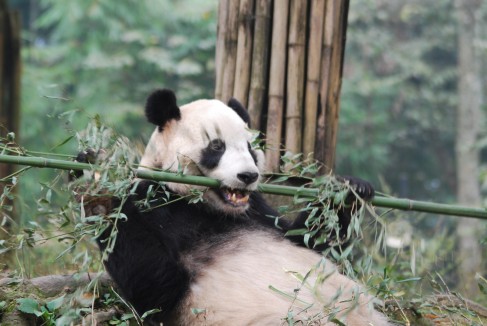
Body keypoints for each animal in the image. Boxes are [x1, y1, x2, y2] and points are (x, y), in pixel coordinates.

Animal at [83, 88, 388, 324]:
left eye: (250, 147)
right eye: (217, 146)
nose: (248, 176)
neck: (204, 206)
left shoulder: (258, 209)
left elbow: (311, 241)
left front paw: (349, 190)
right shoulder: (153, 200)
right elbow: (156, 288)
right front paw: (98, 189)